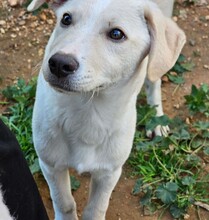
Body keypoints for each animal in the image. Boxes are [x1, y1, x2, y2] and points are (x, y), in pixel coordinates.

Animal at [27, 0, 185, 219]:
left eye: (116, 34)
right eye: (66, 19)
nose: (59, 63)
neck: (88, 111)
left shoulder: (109, 172)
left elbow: (95, 209)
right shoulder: (50, 164)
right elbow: (64, 202)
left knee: (154, 80)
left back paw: (157, 120)